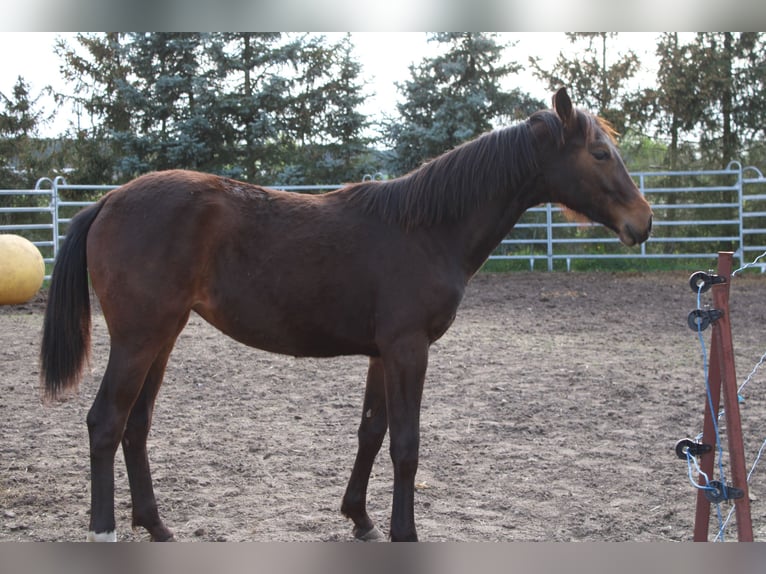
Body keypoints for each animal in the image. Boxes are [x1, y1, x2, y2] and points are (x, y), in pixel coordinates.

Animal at [40, 88, 656, 544]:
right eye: (600, 153)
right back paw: (105, 530)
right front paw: (405, 532)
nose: (644, 222)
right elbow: (406, 444)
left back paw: (157, 525)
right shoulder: (409, 348)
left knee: (136, 426)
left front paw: (360, 519)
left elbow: (371, 432)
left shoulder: (383, 353)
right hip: (139, 339)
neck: (425, 229)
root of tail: (109, 200)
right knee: (106, 422)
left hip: (162, 338)